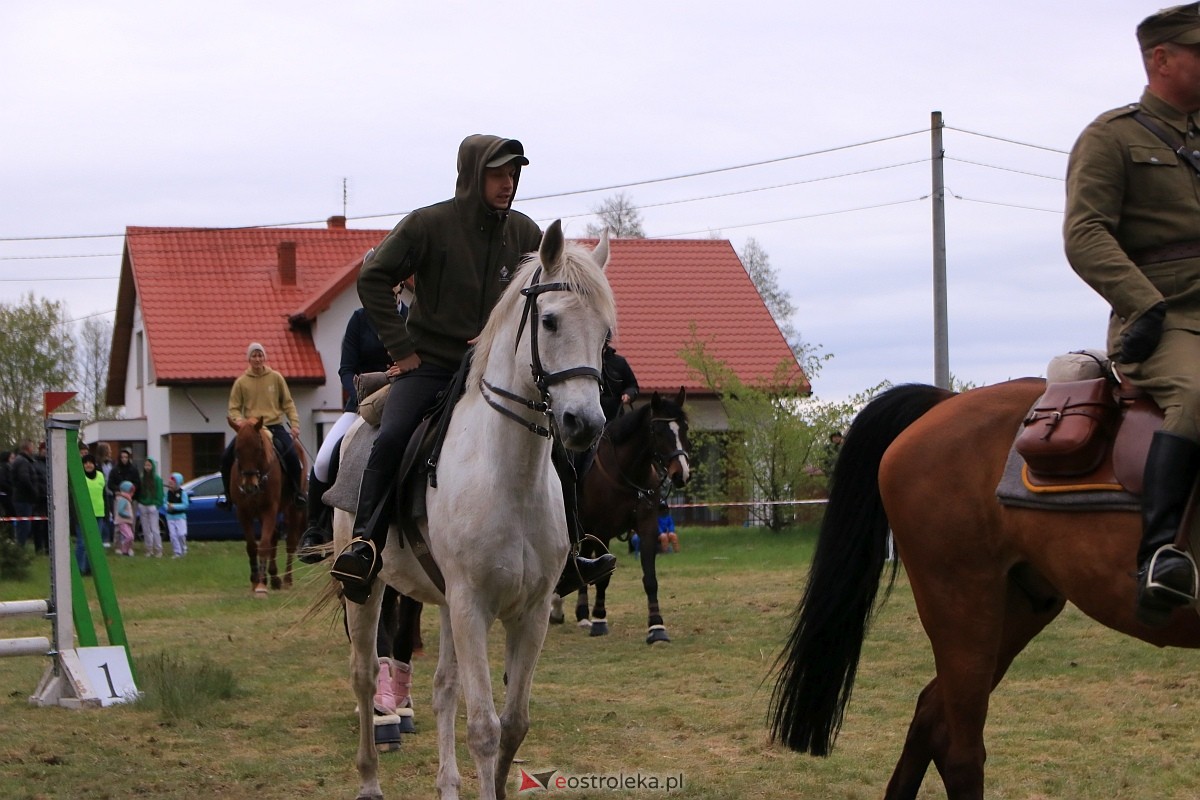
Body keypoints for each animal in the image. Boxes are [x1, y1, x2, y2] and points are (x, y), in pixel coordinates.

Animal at [226, 419, 307, 594]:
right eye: (237, 450)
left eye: (258, 449)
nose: (249, 487)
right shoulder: (243, 512)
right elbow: (252, 546)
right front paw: (256, 580)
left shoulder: (269, 509)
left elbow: (263, 545)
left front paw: (261, 586)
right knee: (274, 538)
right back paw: (274, 578)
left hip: (293, 509)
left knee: (290, 542)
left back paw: (287, 579)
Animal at [340, 220, 614, 800]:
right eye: (550, 320)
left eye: (605, 335)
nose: (585, 424)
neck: (510, 480)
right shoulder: (472, 607)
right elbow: (485, 730)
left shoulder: (528, 612)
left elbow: (514, 724)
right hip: (369, 589)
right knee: (363, 675)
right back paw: (370, 779)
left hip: (443, 602)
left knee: (444, 687)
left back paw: (446, 785)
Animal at [549, 388, 691, 642]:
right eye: (658, 431)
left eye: (684, 427)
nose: (681, 474)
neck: (627, 472)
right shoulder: (603, 530)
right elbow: (603, 580)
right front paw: (599, 620)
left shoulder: (647, 527)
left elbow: (650, 577)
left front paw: (657, 626)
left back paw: (581, 613)